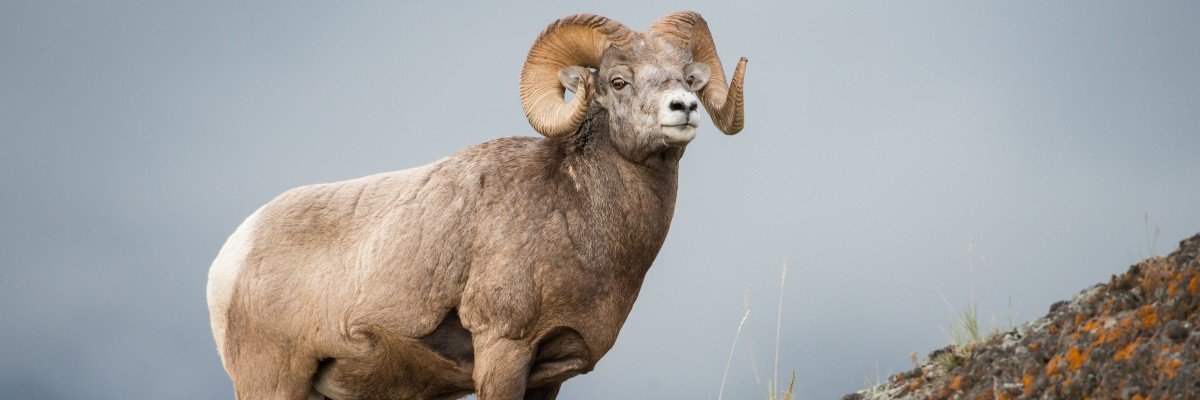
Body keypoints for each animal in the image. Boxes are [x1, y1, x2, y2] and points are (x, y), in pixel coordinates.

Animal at [206, 11, 747, 400]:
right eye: (618, 81)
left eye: (689, 78)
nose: (684, 108)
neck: (579, 216)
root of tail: (230, 258)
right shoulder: (503, 349)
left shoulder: (549, 377)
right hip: (272, 380)